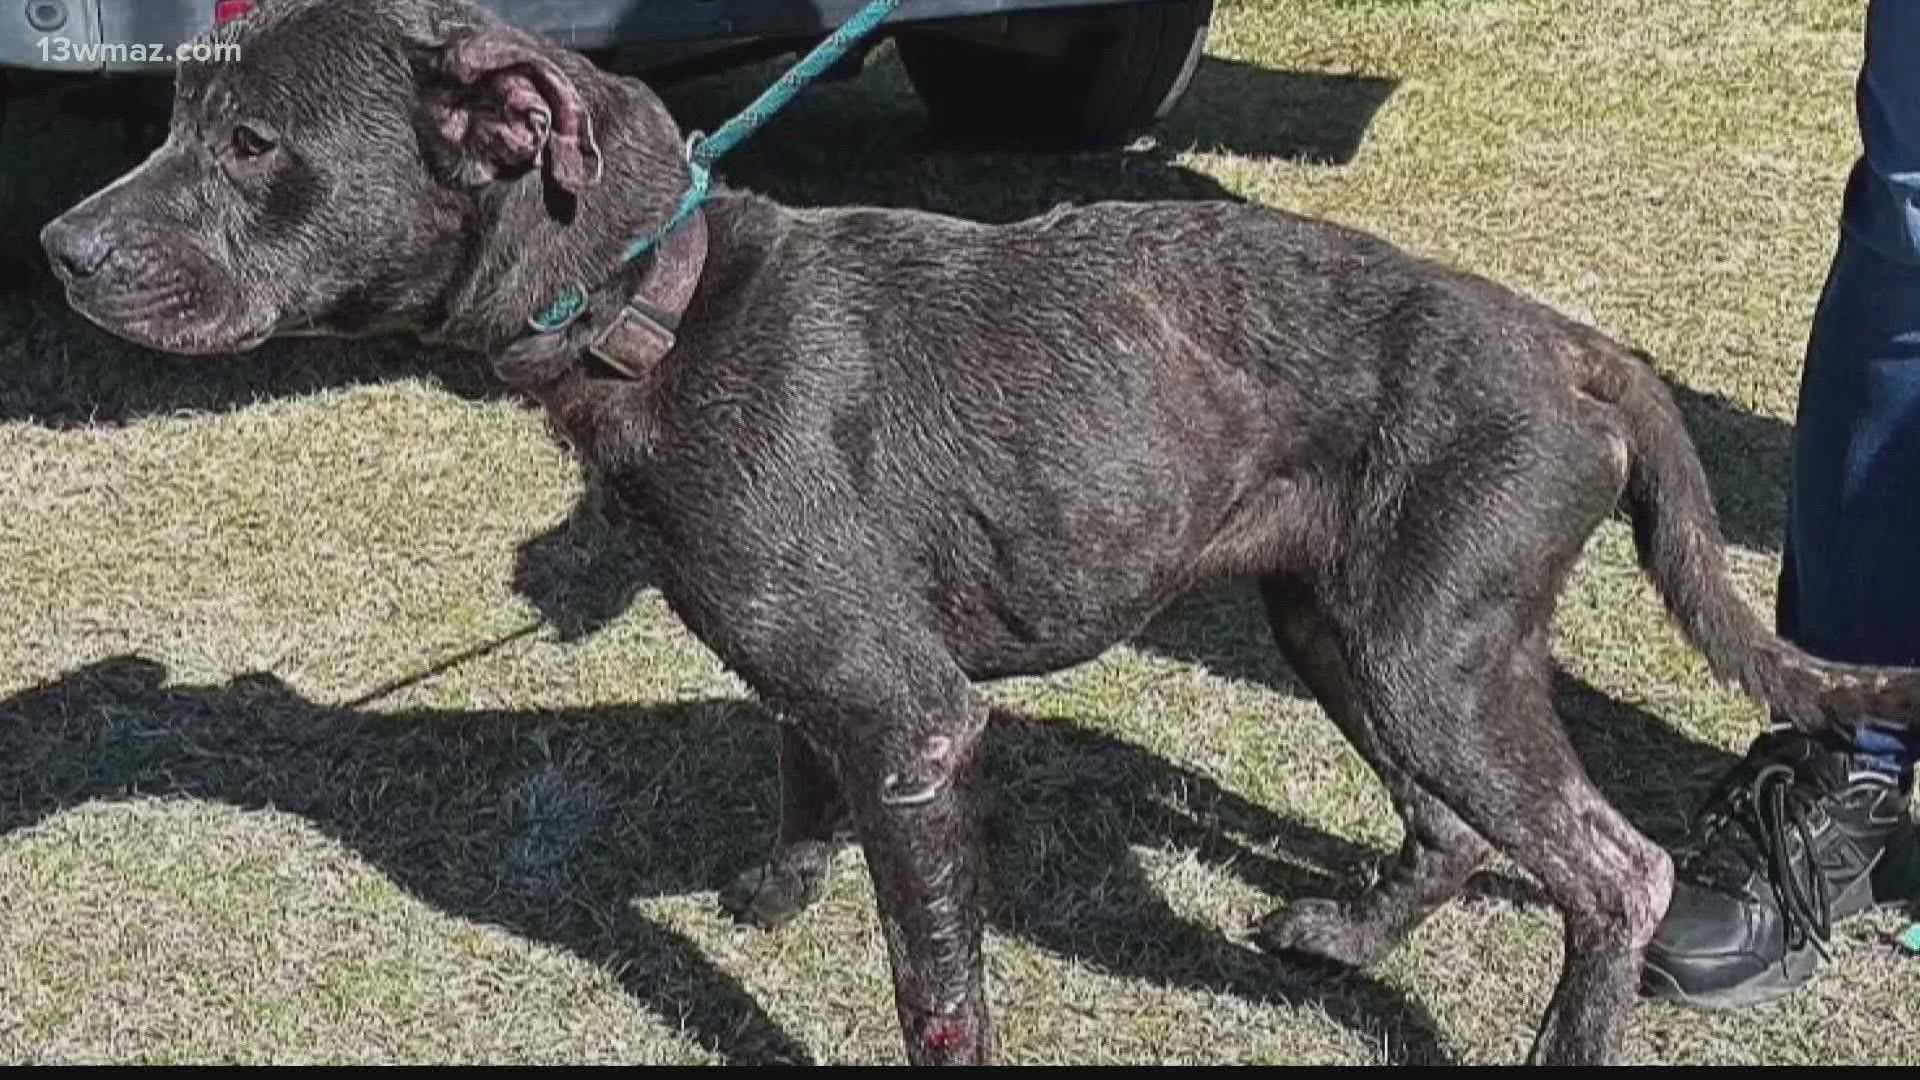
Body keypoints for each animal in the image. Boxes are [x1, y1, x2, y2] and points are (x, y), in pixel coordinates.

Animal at [37, 0, 1920, 1060]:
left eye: (253, 144)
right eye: (173, 121)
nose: (56, 247)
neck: (674, 306)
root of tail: (1570, 340)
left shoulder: (920, 728)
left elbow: (933, 985)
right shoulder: (828, 690)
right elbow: (791, 776)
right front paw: (773, 891)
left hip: (1431, 652)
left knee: (1613, 869)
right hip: (1349, 630)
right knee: (1455, 830)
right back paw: (1347, 938)